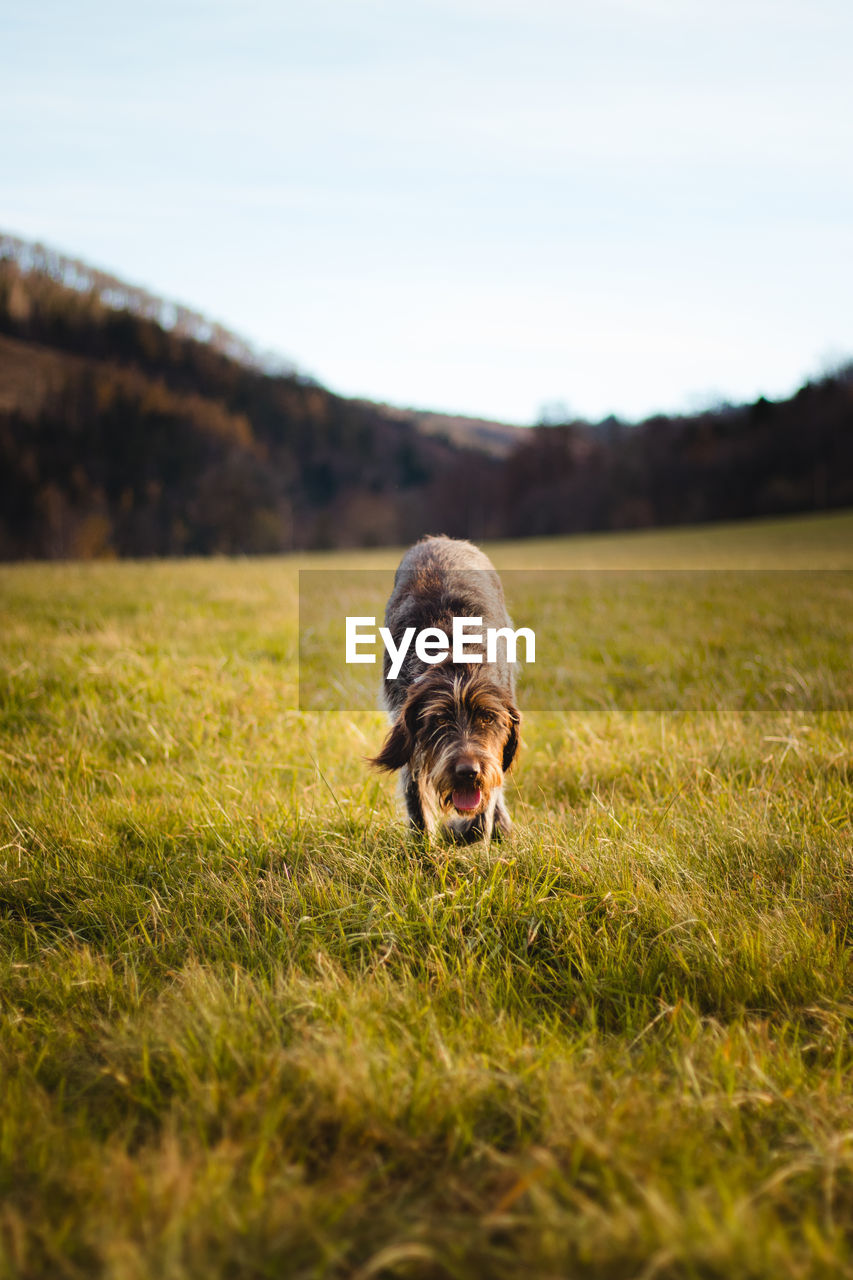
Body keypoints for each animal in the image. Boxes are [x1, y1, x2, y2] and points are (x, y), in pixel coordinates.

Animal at [371, 537, 522, 844]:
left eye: (487, 718)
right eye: (440, 720)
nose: (467, 772)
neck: (456, 661)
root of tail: (437, 539)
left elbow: (483, 812)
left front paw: (461, 830)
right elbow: (415, 798)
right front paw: (422, 850)